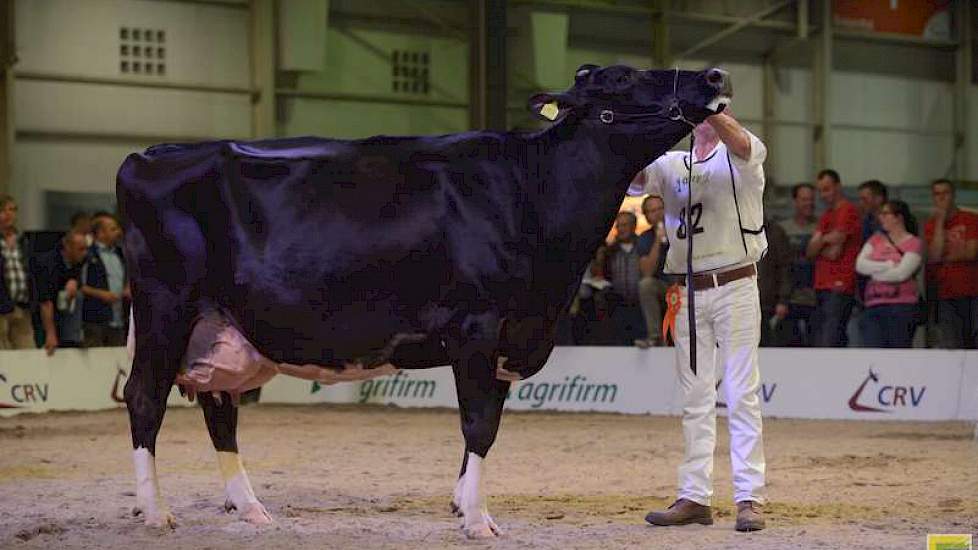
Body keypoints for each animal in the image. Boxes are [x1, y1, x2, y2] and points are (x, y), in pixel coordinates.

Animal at [118, 63, 728, 540]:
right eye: (622, 78)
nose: (715, 76)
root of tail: (150, 154)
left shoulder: (509, 337)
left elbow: (489, 424)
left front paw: (465, 504)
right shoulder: (479, 325)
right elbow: (479, 424)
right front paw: (477, 521)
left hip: (220, 326)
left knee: (220, 412)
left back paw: (250, 509)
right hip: (165, 307)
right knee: (144, 398)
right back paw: (156, 512)